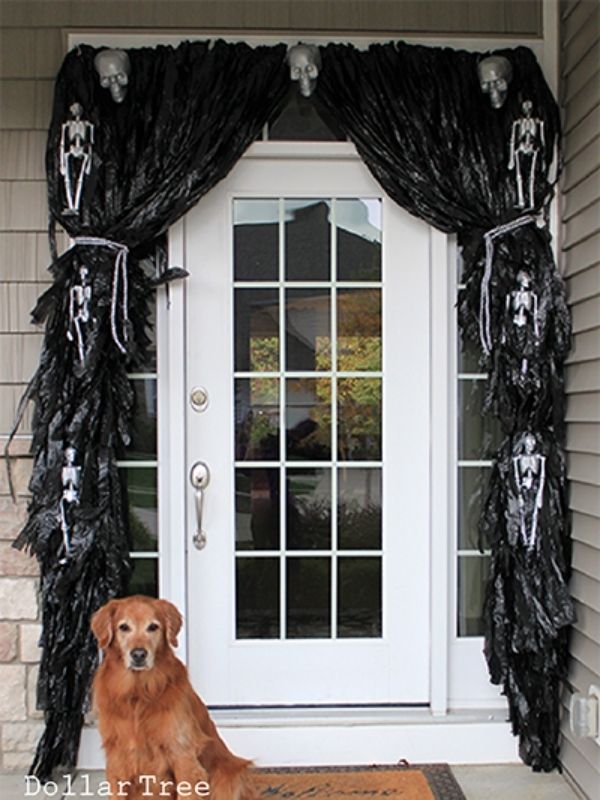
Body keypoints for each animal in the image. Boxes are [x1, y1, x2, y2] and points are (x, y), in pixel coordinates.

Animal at [92, 596, 256, 796]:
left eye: (153, 627)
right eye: (123, 627)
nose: (138, 654)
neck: (138, 692)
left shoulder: (182, 754)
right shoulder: (117, 758)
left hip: (227, 775)